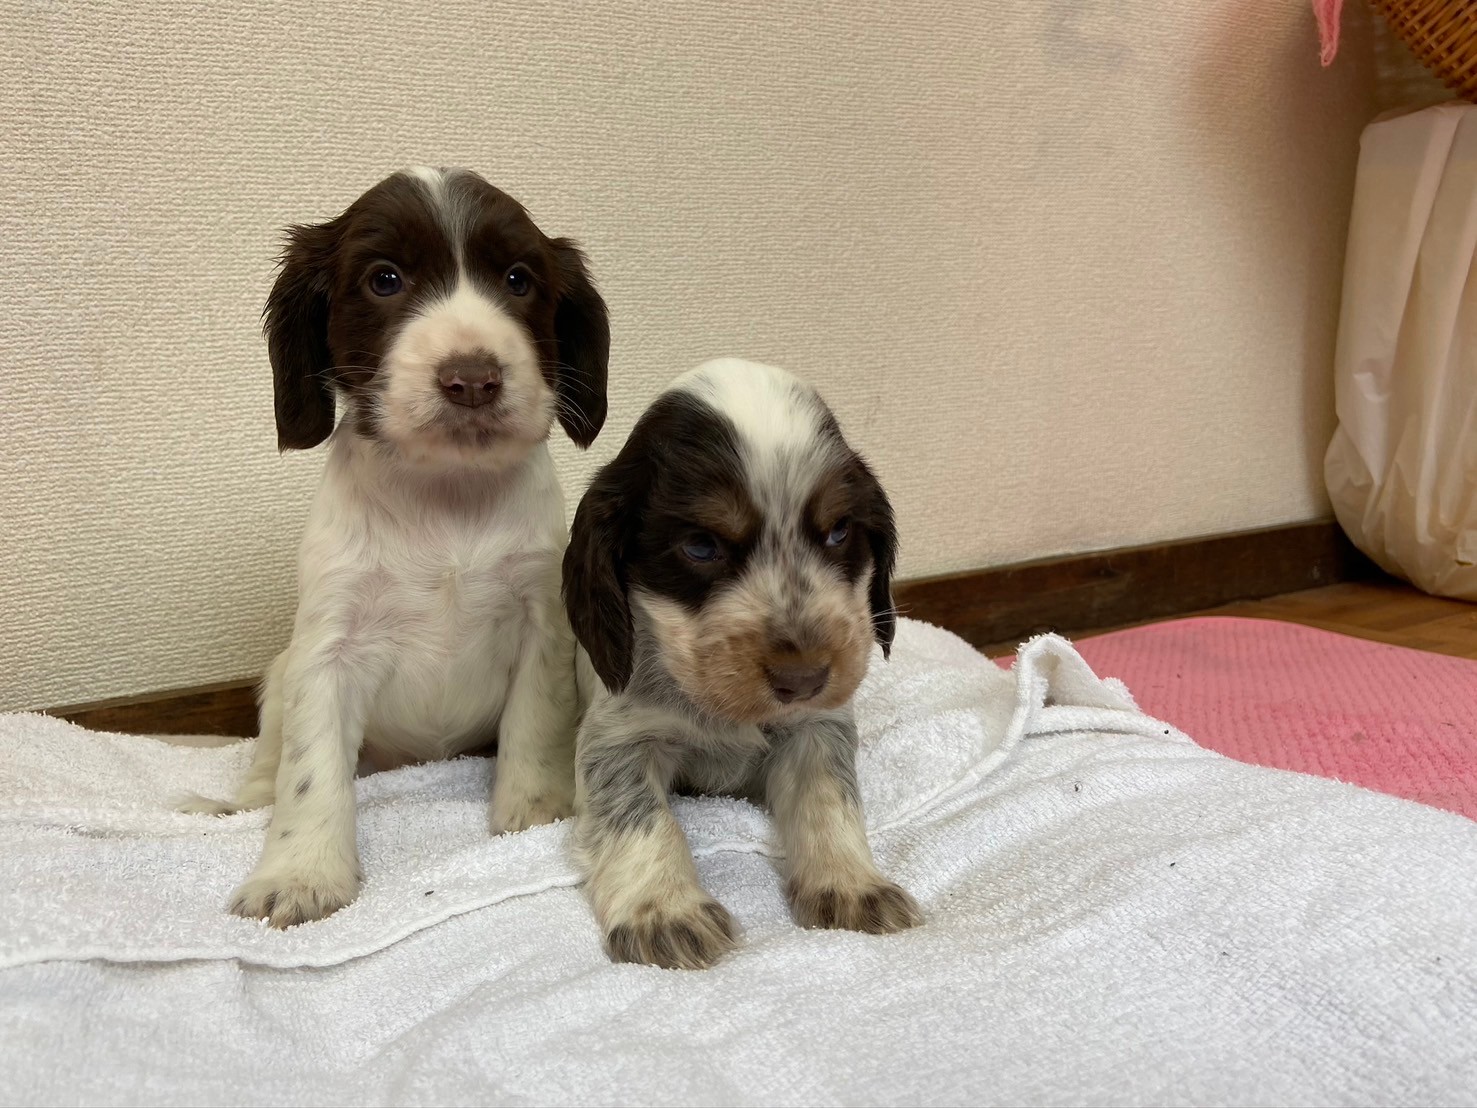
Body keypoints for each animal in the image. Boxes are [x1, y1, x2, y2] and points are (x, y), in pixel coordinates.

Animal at [183, 167, 609, 929]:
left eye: (519, 279)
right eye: (384, 280)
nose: (472, 379)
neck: (444, 497)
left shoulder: (541, 625)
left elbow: (536, 726)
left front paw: (532, 816)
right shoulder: (328, 648)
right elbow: (310, 768)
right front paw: (301, 871)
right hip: (279, 673)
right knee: (271, 751)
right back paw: (247, 800)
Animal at [561, 357, 922, 969]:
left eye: (839, 532)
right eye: (701, 546)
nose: (804, 679)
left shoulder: (815, 725)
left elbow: (829, 798)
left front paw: (851, 884)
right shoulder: (620, 736)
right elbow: (640, 813)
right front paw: (665, 911)